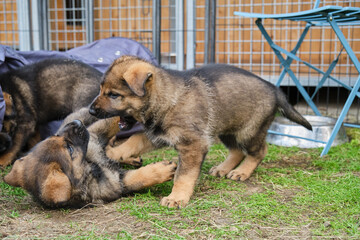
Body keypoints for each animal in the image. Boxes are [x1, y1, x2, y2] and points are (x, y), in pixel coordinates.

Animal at [3, 109, 176, 208]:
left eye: (56, 136)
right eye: (69, 149)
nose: (77, 123)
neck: (91, 165)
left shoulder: (95, 134)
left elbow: (111, 122)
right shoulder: (117, 182)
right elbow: (139, 178)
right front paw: (164, 169)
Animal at [88, 55, 310, 207]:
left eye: (114, 95)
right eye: (101, 90)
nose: (90, 110)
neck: (167, 100)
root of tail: (275, 90)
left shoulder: (192, 145)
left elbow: (183, 175)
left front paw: (177, 198)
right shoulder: (157, 134)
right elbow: (133, 141)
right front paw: (112, 152)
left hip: (248, 132)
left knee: (258, 151)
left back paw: (242, 172)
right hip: (226, 129)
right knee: (236, 151)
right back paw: (223, 168)